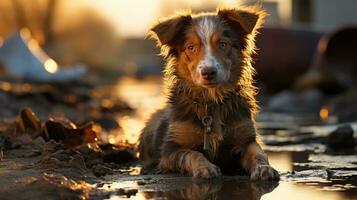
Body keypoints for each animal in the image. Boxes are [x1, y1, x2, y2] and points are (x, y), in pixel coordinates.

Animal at [138, 5, 280, 181]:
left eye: (223, 44)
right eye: (191, 47)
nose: (208, 72)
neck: (211, 101)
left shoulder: (246, 138)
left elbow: (257, 153)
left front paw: (263, 168)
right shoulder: (170, 150)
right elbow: (192, 154)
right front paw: (205, 167)